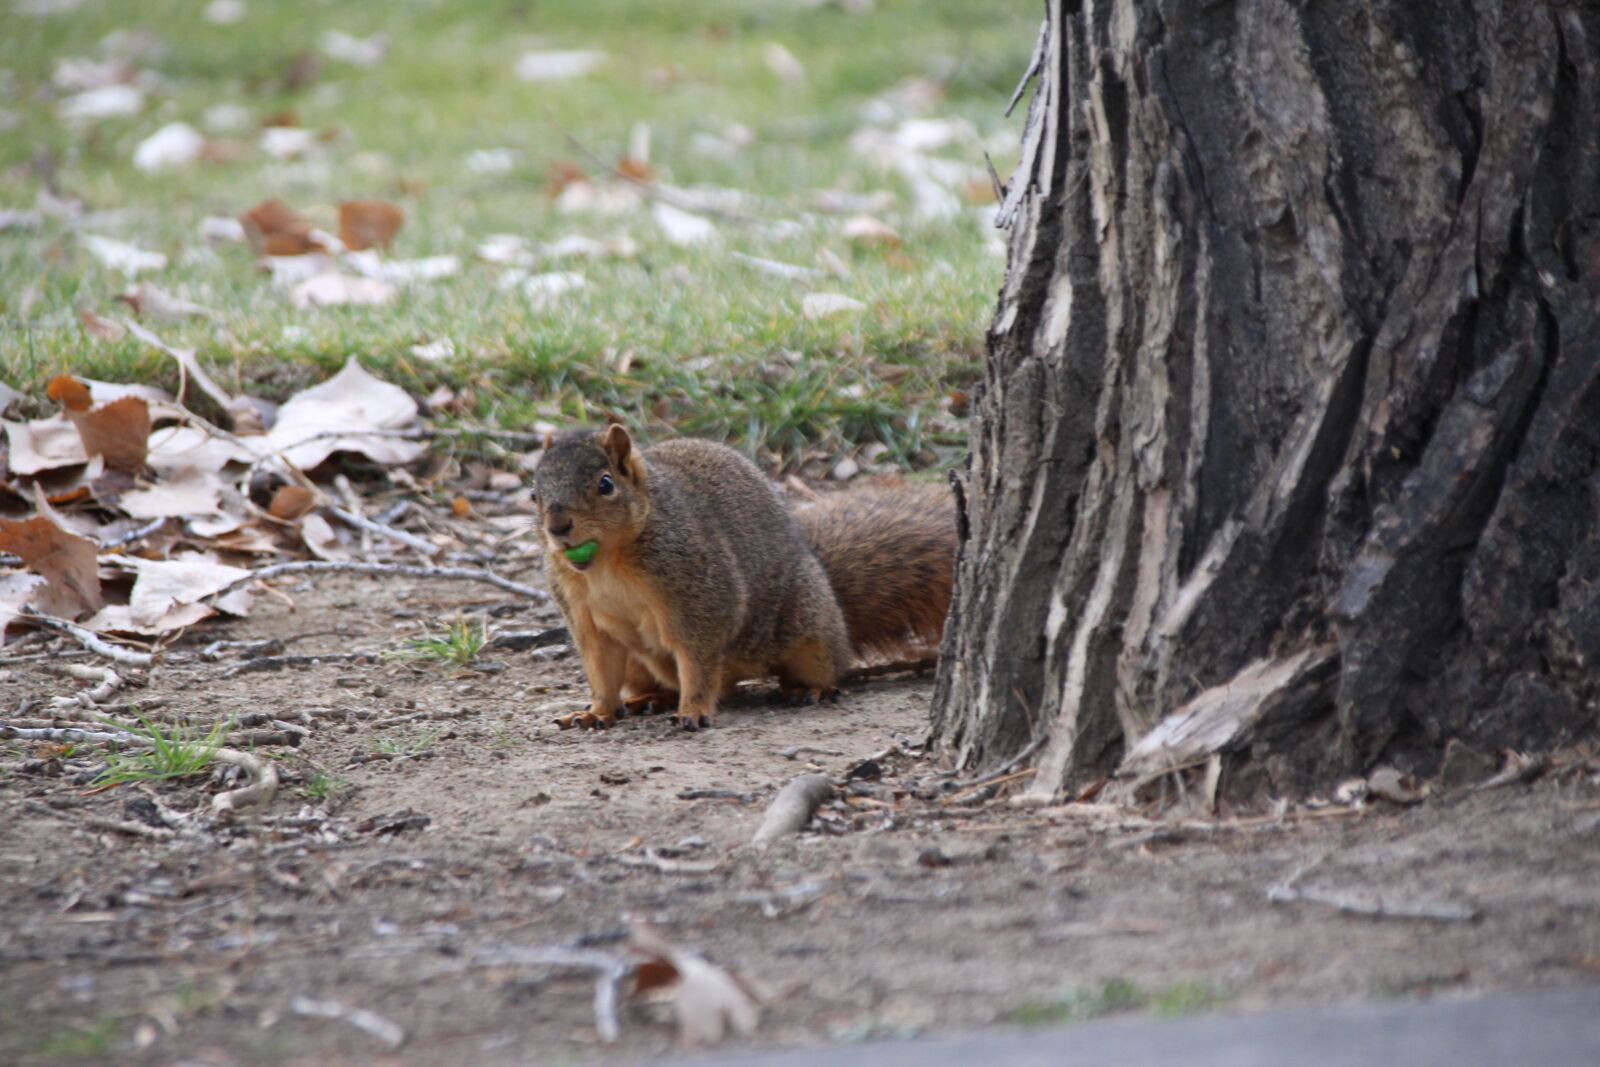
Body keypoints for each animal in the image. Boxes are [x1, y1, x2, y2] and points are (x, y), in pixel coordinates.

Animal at [532, 425, 955, 732]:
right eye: (534, 494)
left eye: (605, 484)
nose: (557, 527)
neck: (605, 562)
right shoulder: (581, 613)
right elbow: (600, 669)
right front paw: (596, 712)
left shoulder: (700, 597)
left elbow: (698, 662)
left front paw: (694, 710)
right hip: (639, 666)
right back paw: (651, 698)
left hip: (809, 630)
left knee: (826, 666)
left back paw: (809, 689)